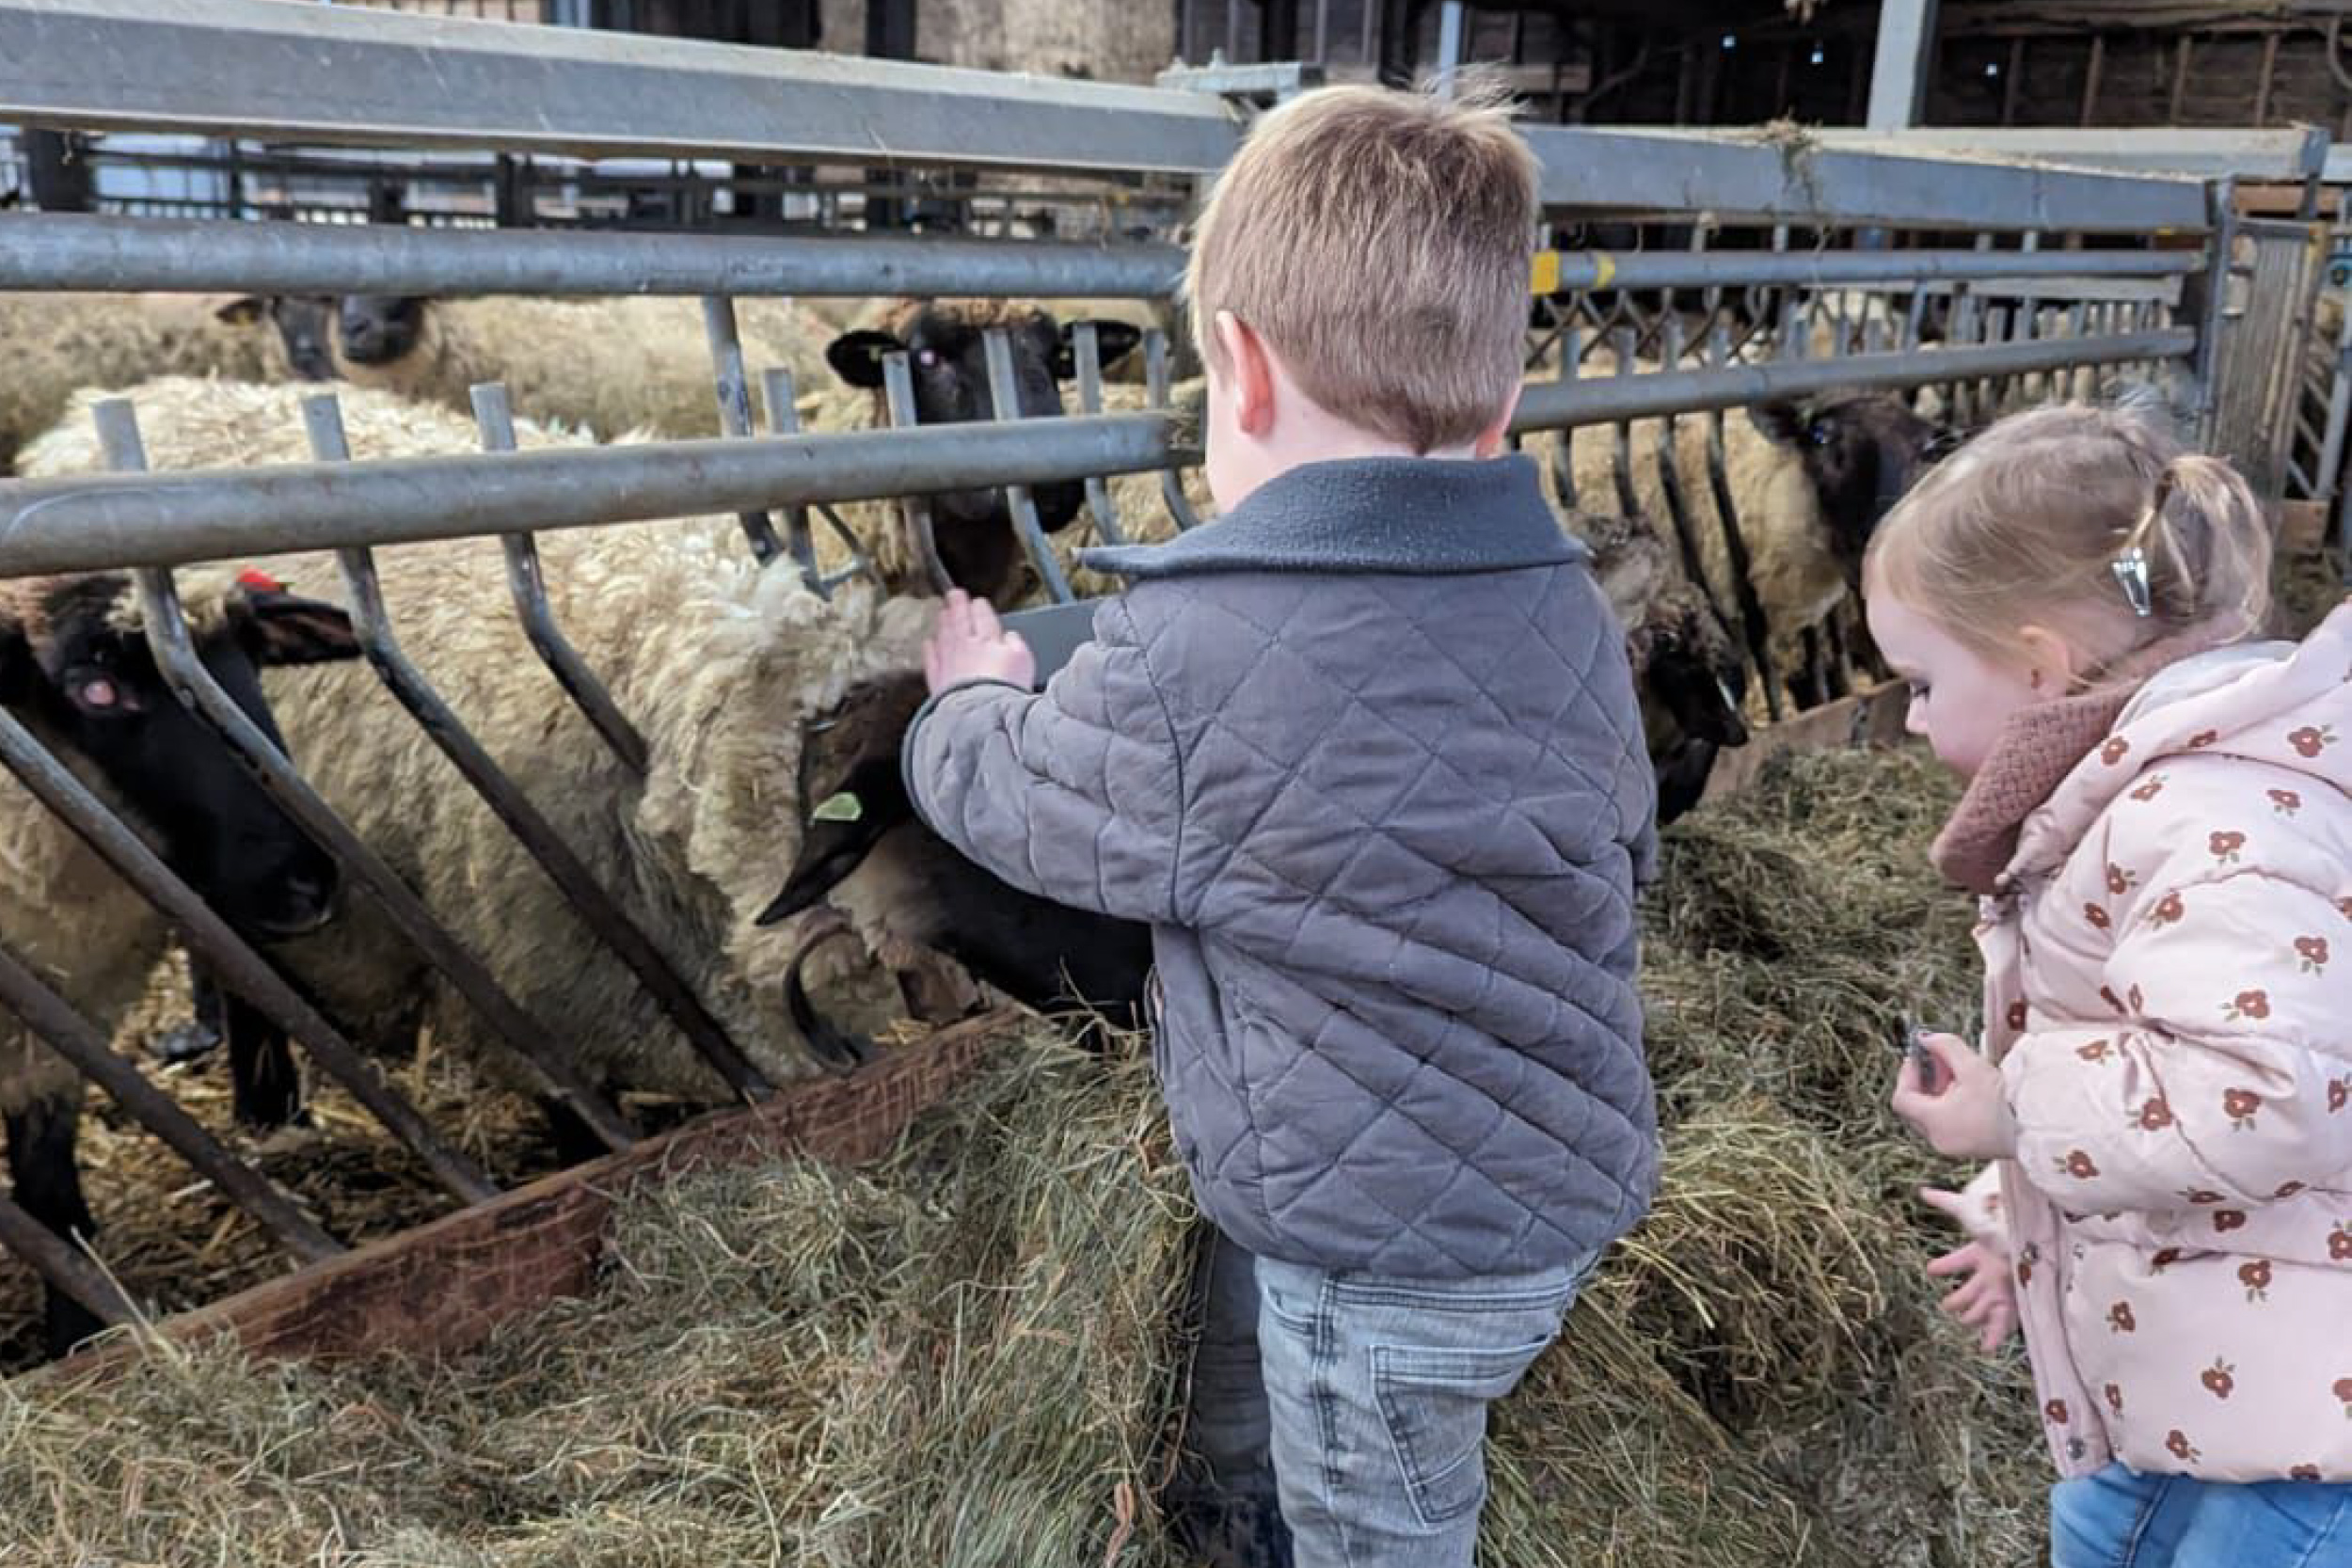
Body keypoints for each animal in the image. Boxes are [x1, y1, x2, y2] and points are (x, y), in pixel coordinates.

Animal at [0, 566, 358, 1363]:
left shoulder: (56, 1029)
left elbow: (49, 1183)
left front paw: (78, 1332)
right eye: (96, 690)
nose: (310, 884)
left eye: (250, 655)